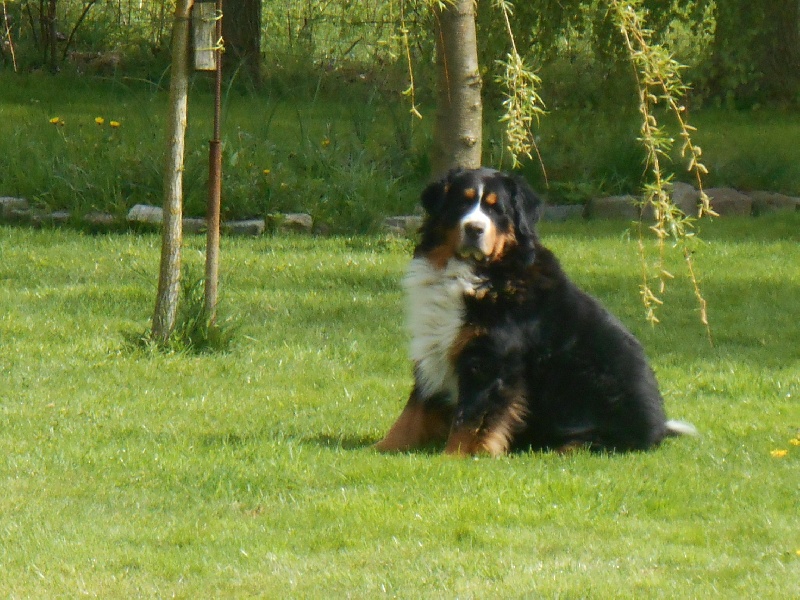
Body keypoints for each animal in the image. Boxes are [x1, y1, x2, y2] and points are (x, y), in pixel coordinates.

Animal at [375, 167, 696, 456]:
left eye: (497, 210)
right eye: (462, 203)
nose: (474, 229)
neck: (473, 273)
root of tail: (659, 428)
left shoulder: (490, 360)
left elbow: (471, 418)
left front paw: (455, 458)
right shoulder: (434, 347)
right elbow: (414, 410)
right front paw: (382, 449)